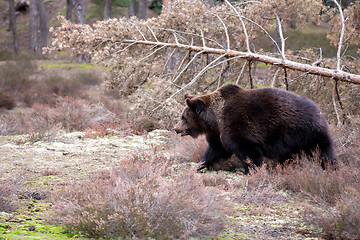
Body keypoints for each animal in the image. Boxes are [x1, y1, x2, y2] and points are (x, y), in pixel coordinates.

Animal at [174, 83, 334, 173]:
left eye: (183, 117)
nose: (175, 128)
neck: (215, 120)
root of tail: (319, 111)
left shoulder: (237, 126)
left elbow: (248, 151)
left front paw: (251, 170)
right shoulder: (218, 134)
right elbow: (215, 151)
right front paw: (199, 165)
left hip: (305, 132)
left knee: (323, 152)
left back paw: (330, 168)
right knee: (290, 157)